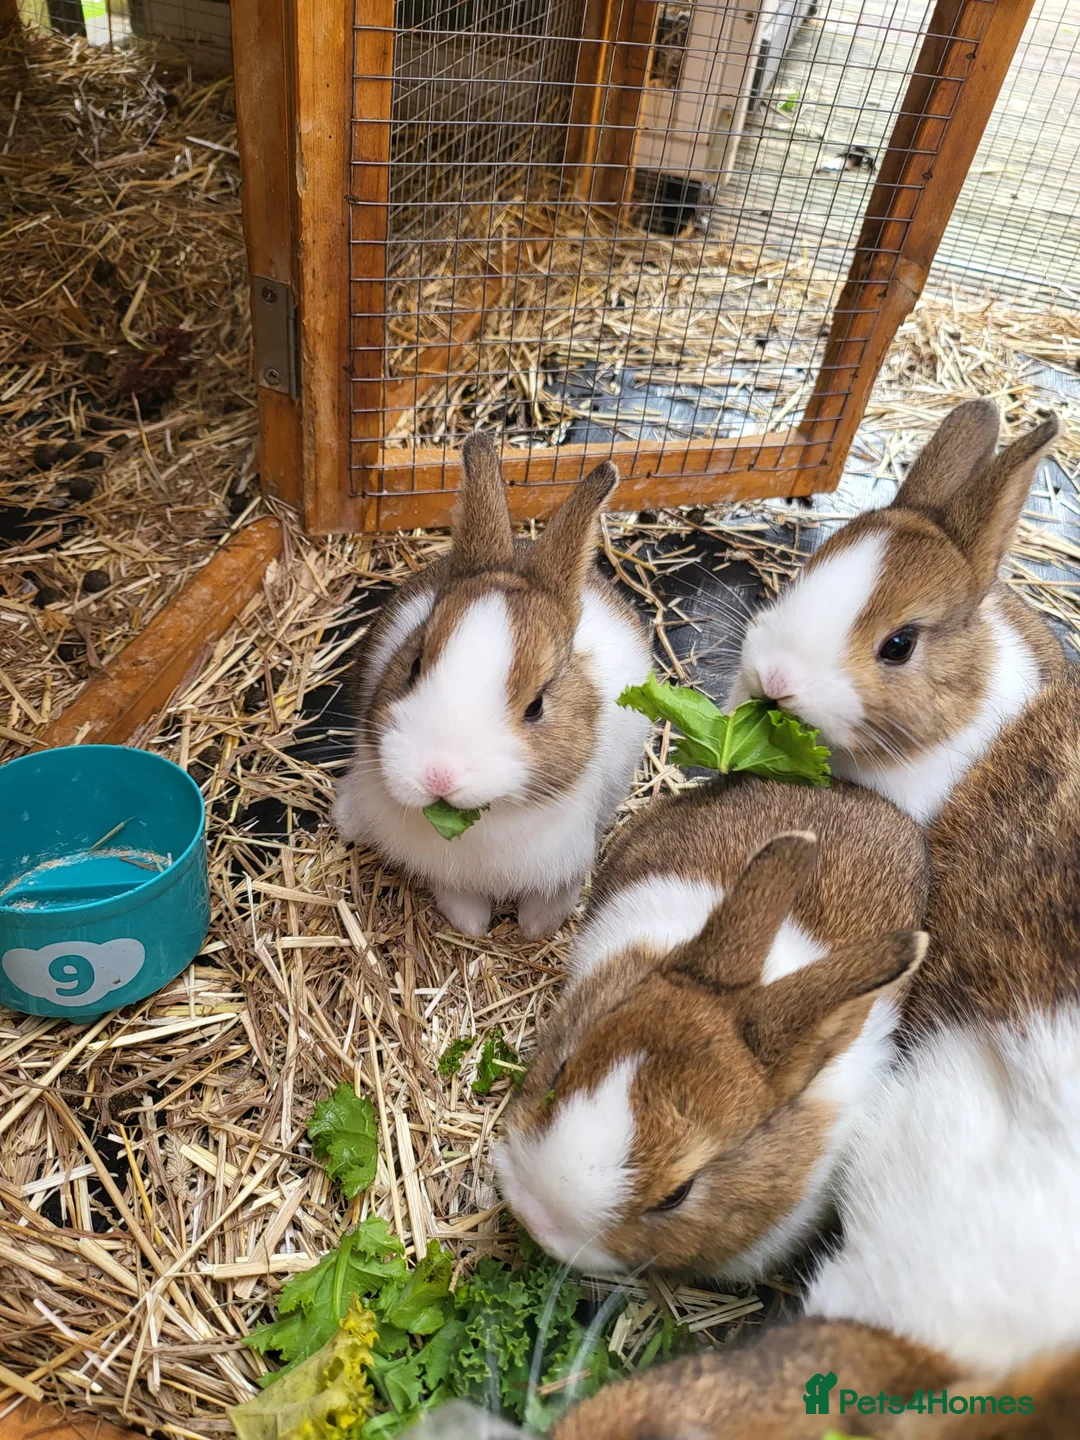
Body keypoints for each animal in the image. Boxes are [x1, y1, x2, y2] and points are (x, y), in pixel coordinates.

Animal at [330, 433, 653, 938]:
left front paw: (537, 927)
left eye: (536, 706)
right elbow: (457, 894)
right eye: (414, 665)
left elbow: (557, 890)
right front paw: (472, 925)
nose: (438, 775)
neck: (489, 817)